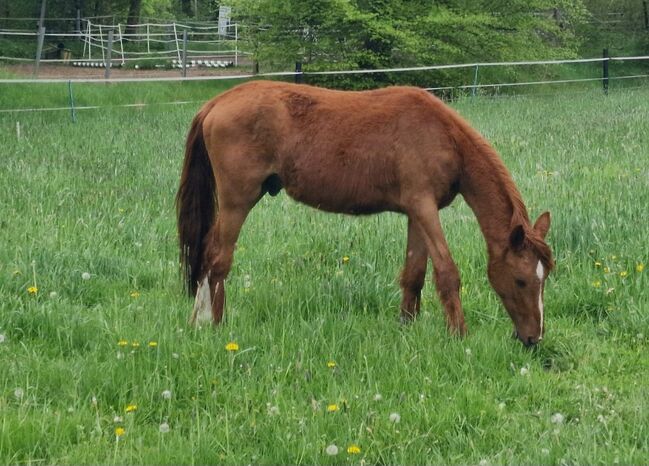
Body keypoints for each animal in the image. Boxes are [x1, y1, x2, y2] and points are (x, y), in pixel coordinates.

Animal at [176, 82, 552, 348]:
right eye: (521, 280)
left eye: (544, 278)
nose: (533, 339)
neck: (443, 136)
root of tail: (217, 103)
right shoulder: (425, 208)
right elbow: (447, 272)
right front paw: (459, 335)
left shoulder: (417, 212)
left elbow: (414, 274)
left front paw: (406, 328)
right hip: (237, 202)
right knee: (218, 260)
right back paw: (217, 327)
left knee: (207, 256)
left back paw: (197, 321)